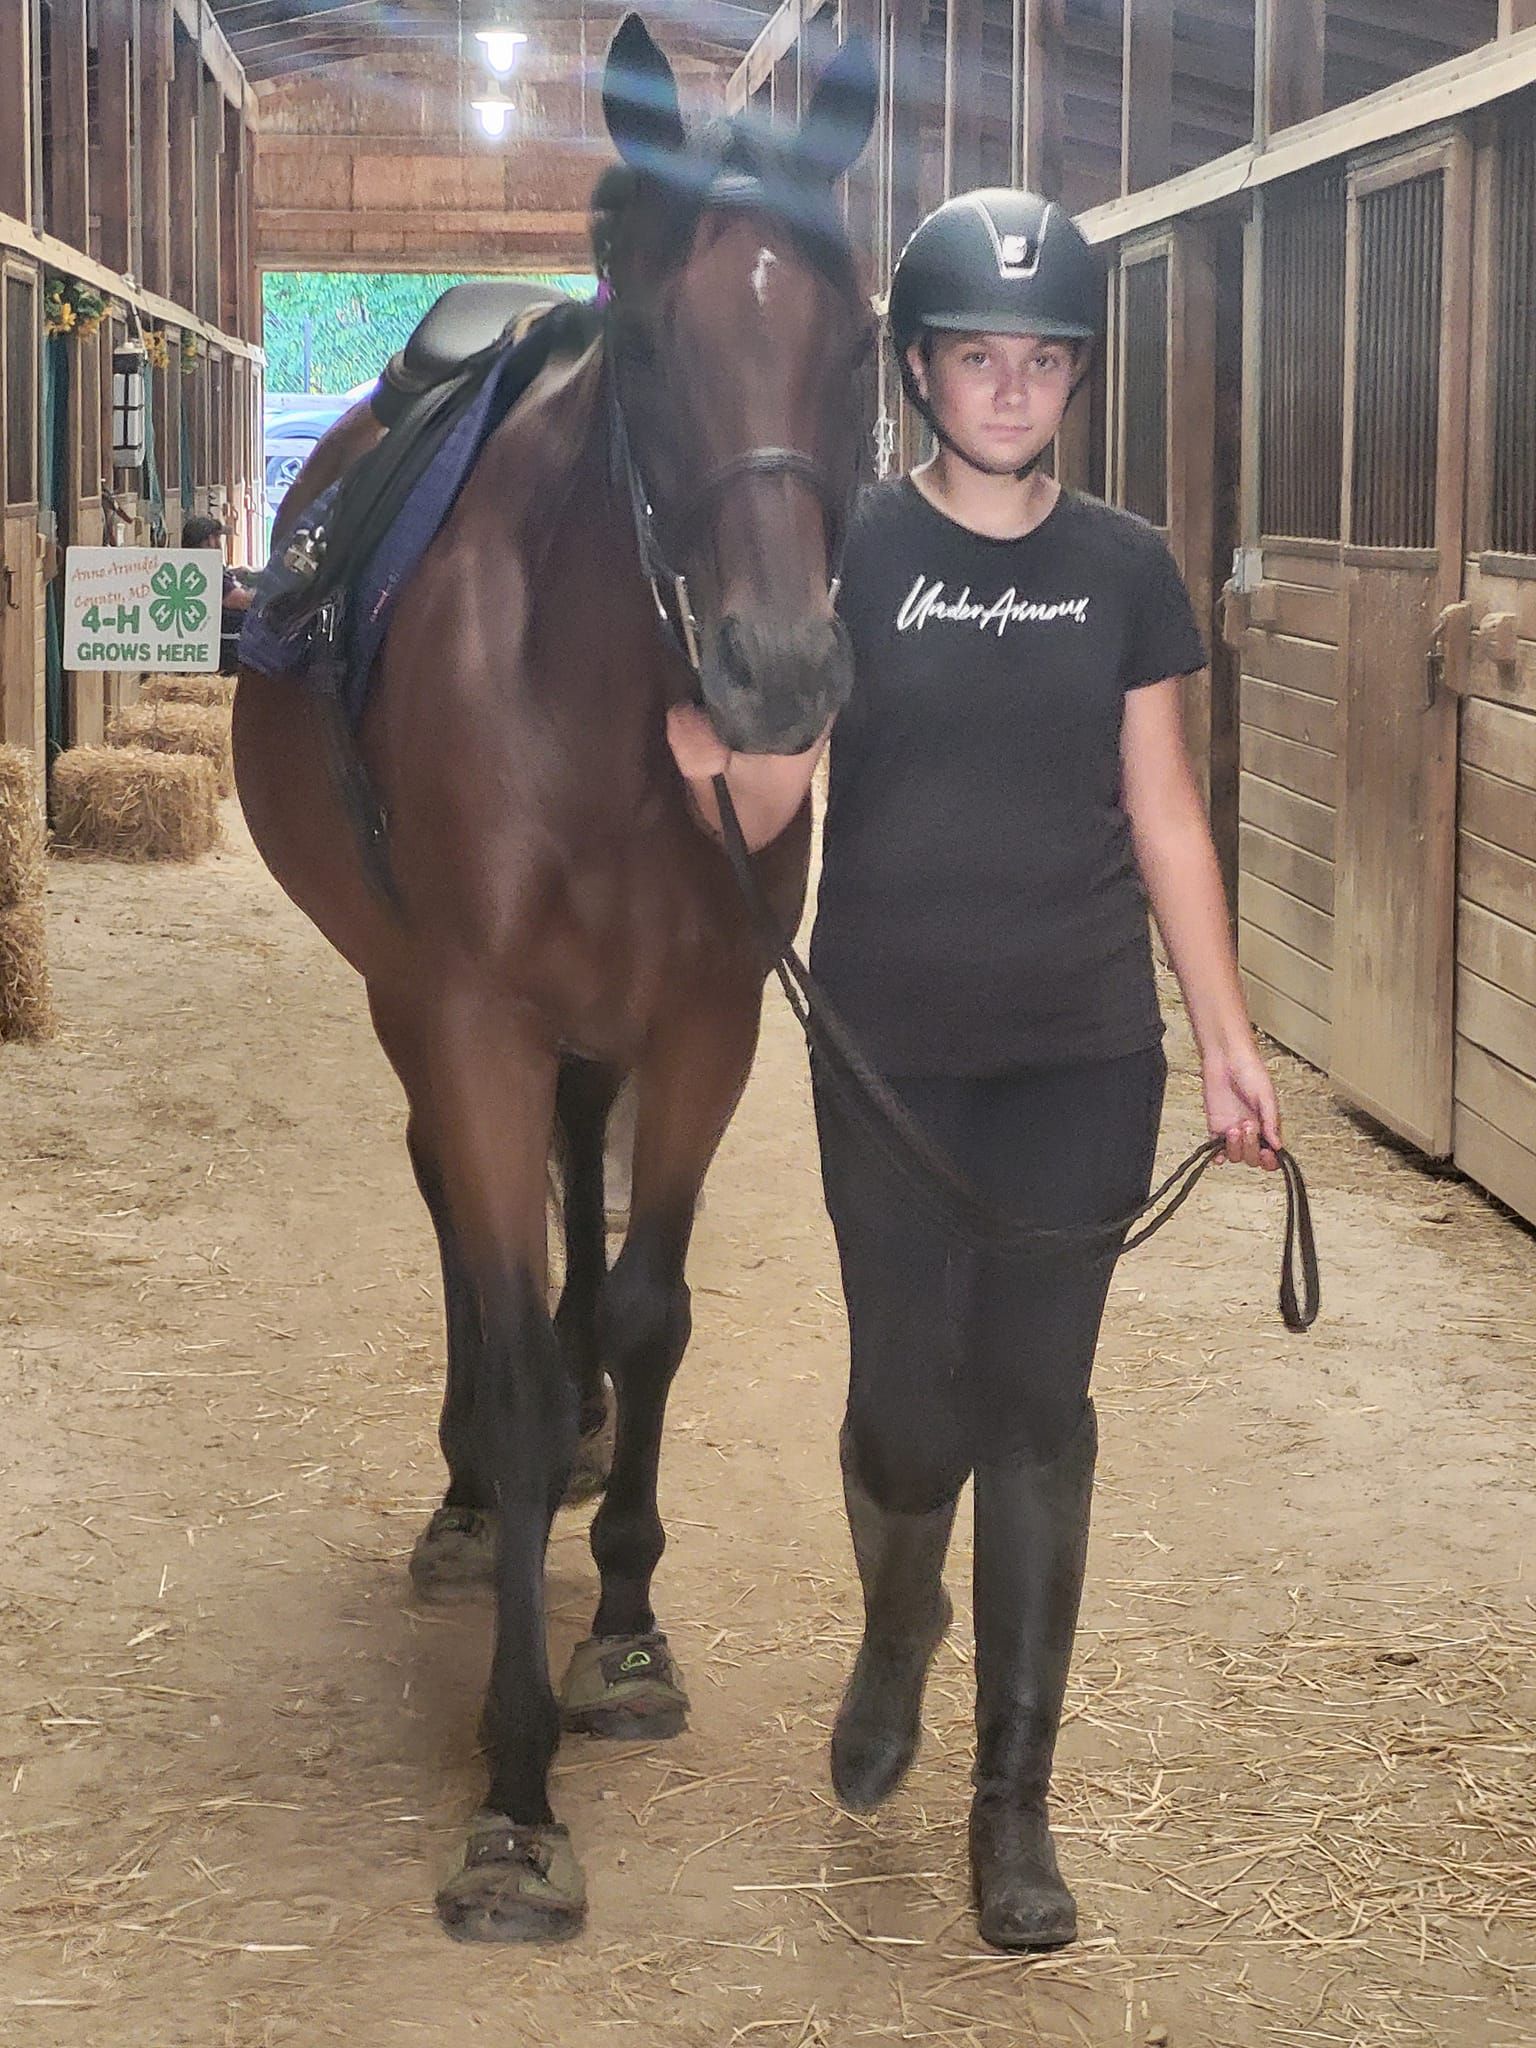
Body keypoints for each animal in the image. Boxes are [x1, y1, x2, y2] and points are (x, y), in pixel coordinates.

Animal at [233, 14, 877, 1943]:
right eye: (653, 337)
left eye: (860, 340)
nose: (773, 674)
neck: (590, 689)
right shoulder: (473, 1019)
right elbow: (511, 1332)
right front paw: (515, 1792)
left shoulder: (706, 1021)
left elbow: (647, 1310)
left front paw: (628, 1635)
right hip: (407, 998)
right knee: (464, 1210)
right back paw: (466, 1502)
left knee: (570, 1203)